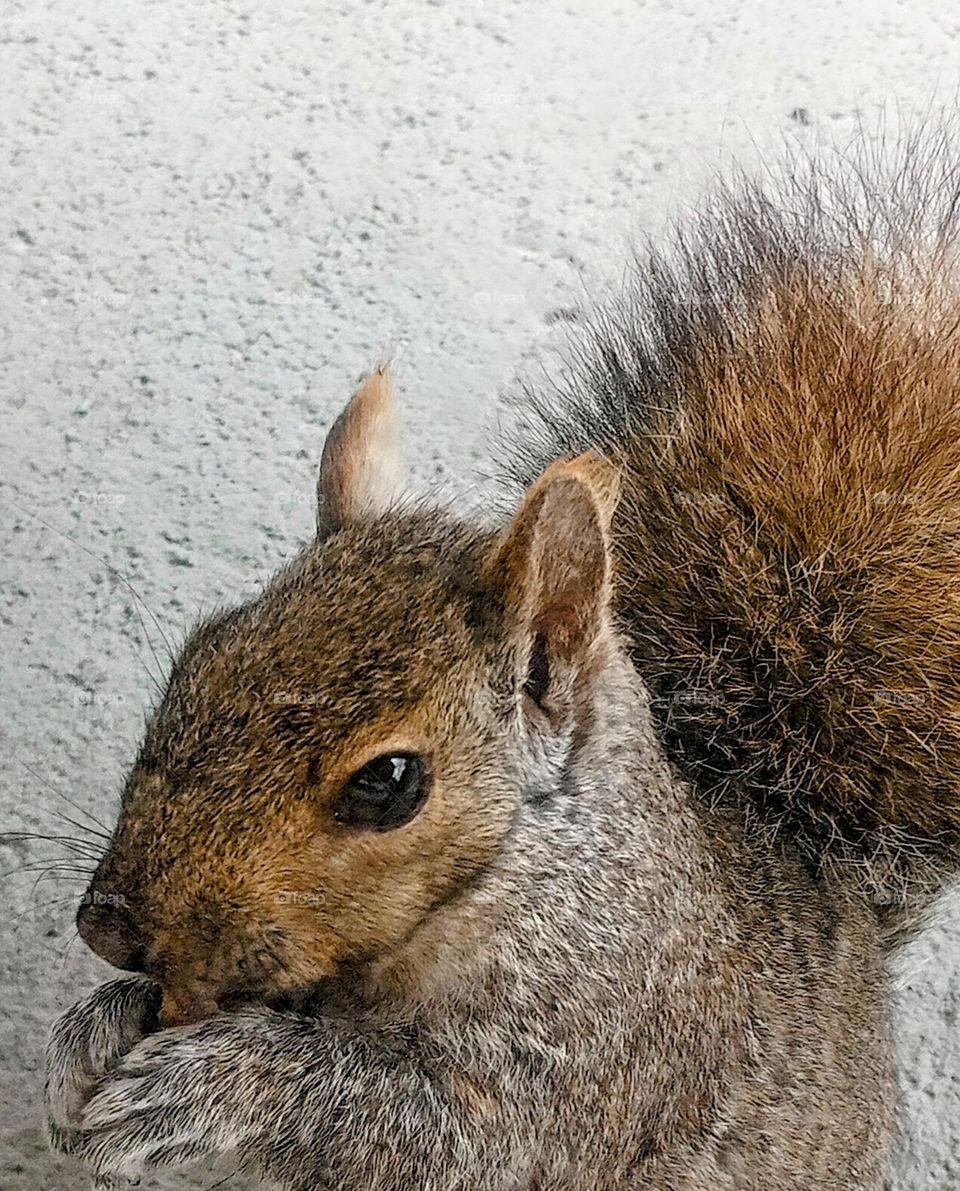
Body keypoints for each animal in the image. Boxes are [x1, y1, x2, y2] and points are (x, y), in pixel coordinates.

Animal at [44, 134, 960, 1190]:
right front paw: (91, 1031)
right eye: (198, 656)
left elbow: (441, 1135)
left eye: (390, 781)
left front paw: (205, 1084)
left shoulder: (592, 1053)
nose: (106, 927)